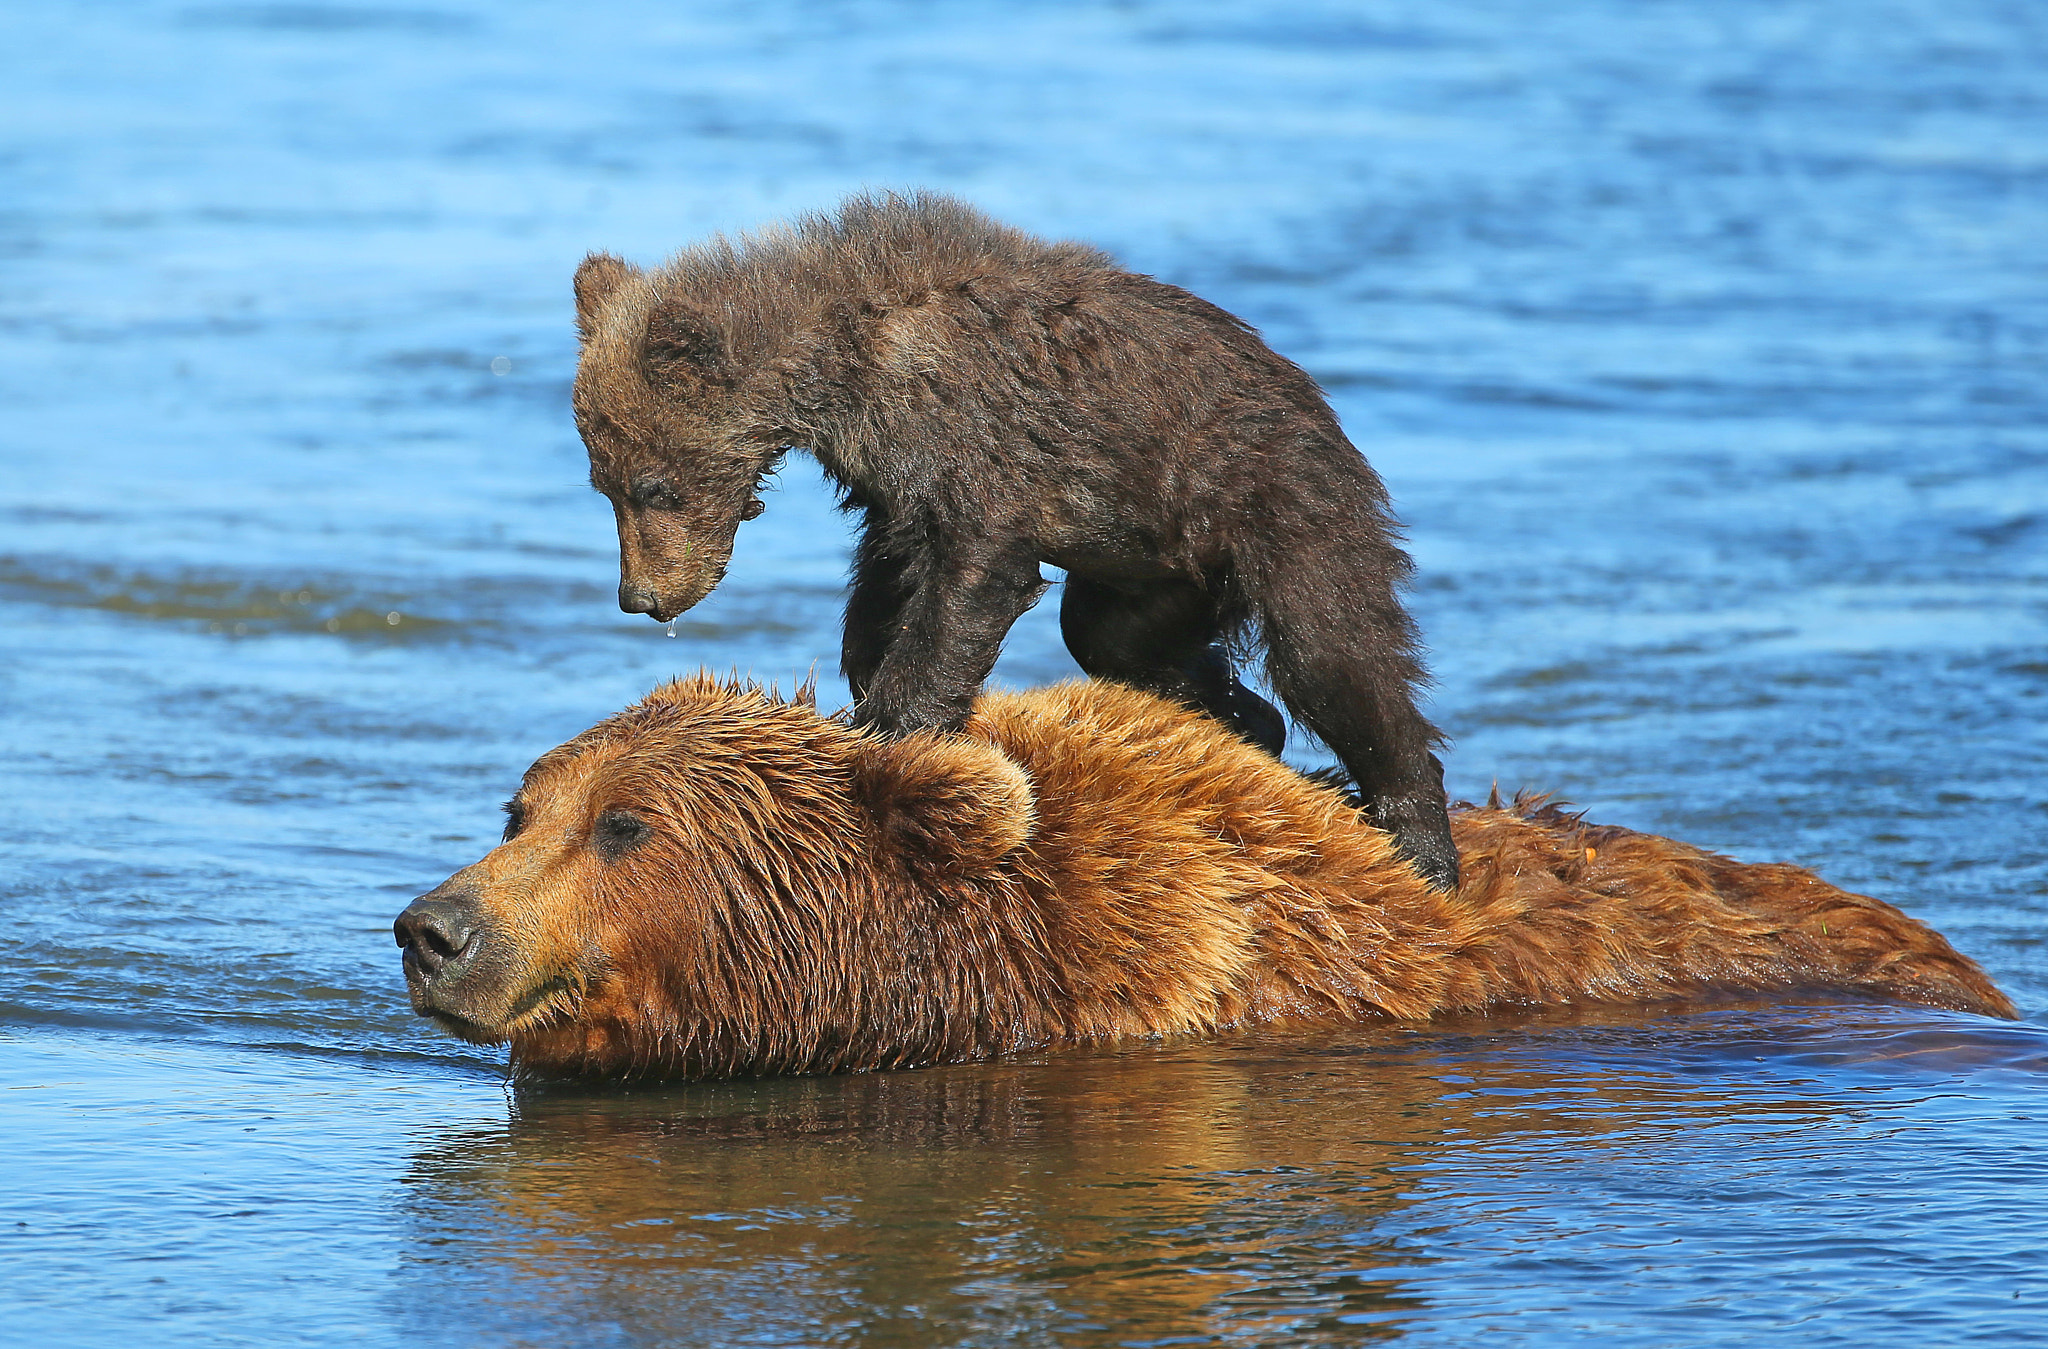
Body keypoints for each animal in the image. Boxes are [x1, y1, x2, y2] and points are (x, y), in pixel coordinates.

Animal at [565, 187, 1458, 888]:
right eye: (604, 484)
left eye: (654, 487)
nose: (641, 597)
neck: (845, 365)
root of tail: (1319, 407)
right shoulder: (893, 475)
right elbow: (891, 572)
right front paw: (866, 673)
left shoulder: (980, 439)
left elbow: (972, 575)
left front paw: (887, 723)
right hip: (1152, 564)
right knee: (1113, 638)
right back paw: (1242, 728)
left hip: (1277, 503)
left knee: (1336, 654)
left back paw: (1420, 844)